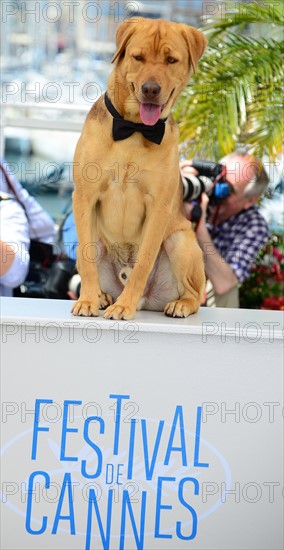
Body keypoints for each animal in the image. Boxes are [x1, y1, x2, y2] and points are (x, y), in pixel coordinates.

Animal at [72, 17, 207, 322]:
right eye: (138, 57)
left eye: (171, 60)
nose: (151, 89)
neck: (133, 130)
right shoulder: (85, 196)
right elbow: (87, 262)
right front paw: (87, 300)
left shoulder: (158, 207)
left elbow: (143, 262)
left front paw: (124, 306)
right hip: (96, 241)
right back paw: (101, 296)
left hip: (181, 240)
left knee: (195, 294)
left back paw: (179, 304)